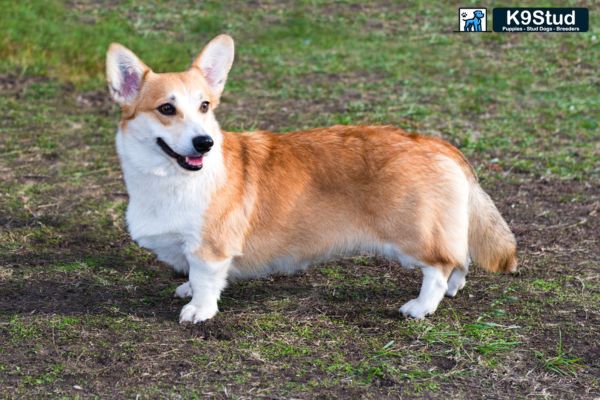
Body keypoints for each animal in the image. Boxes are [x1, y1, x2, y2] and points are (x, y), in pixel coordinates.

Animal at [106, 33, 516, 322]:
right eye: (166, 109)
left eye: (205, 106)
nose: (204, 143)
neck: (169, 179)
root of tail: (436, 144)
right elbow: (192, 277)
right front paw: (186, 289)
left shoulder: (211, 248)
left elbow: (206, 280)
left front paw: (199, 310)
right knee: (461, 259)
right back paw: (452, 291)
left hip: (413, 234)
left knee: (441, 265)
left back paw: (420, 306)